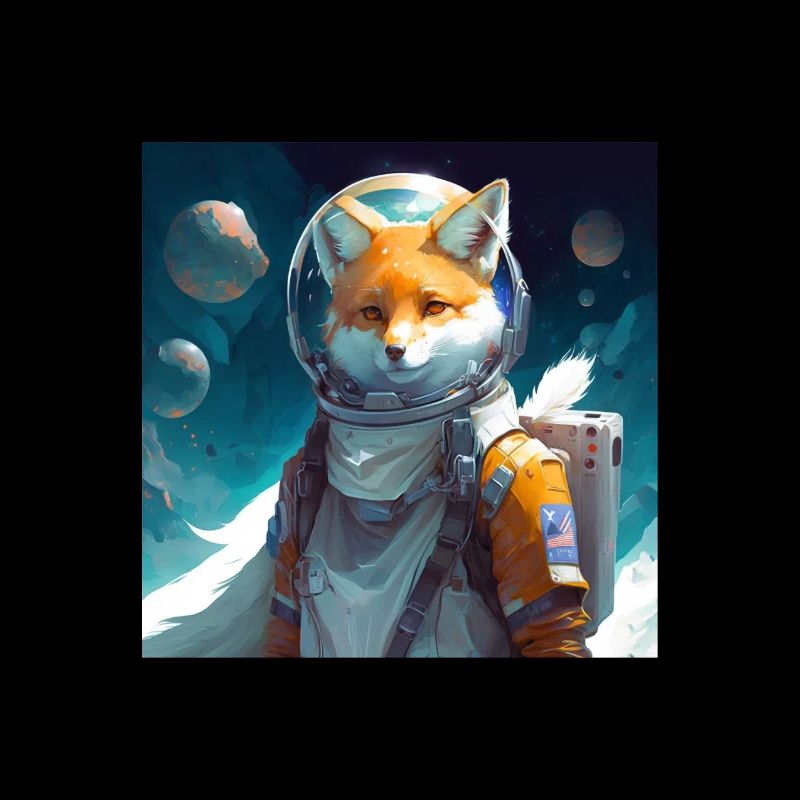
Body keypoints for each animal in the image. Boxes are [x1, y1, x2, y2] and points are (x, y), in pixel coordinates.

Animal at [142, 177, 598, 658]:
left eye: (434, 307)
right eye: (373, 313)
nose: (395, 351)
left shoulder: (527, 473)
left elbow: (548, 625)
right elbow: (284, 616)